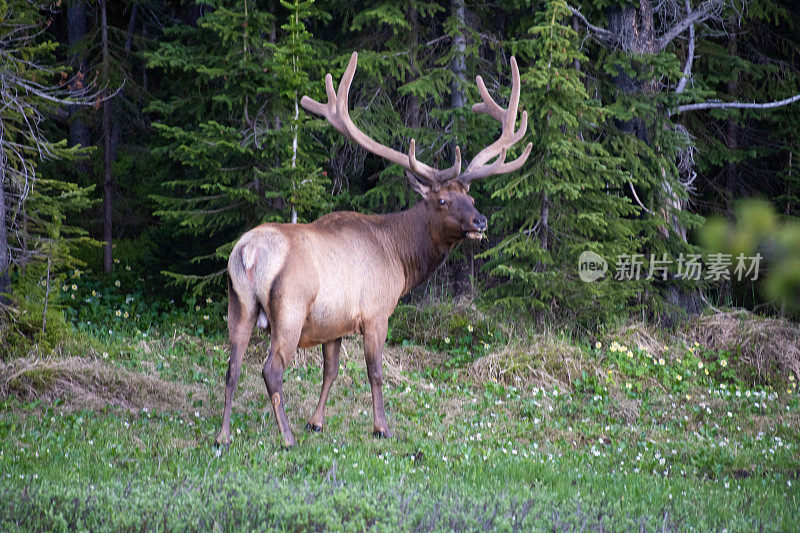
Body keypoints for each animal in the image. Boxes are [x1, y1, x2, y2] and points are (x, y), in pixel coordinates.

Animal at [219, 52, 532, 446]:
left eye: (471, 198)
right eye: (442, 200)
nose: (480, 221)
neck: (400, 256)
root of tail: (248, 252)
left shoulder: (333, 324)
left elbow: (331, 371)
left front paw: (317, 422)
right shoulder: (376, 312)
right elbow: (375, 372)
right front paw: (382, 427)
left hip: (239, 304)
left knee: (231, 368)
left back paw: (223, 436)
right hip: (290, 307)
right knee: (271, 370)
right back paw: (287, 437)